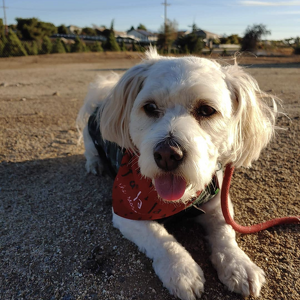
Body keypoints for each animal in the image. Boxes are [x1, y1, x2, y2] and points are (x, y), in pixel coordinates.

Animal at [77, 48, 276, 298]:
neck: (176, 202)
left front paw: (239, 265)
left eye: (207, 110)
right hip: (91, 135)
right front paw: (182, 271)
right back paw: (96, 165)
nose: (167, 154)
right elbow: (160, 238)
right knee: (90, 150)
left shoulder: (219, 204)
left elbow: (226, 232)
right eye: (150, 108)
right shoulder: (126, 211)